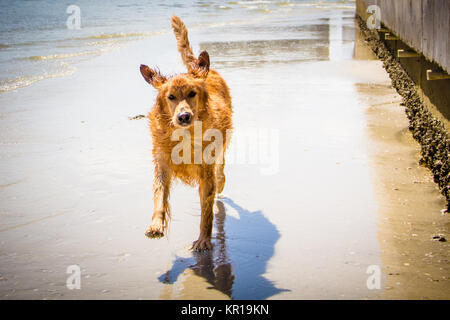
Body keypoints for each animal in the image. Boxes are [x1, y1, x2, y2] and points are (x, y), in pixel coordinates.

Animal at [140, 15, 232, 250]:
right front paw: (156, 225)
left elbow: (206, 211)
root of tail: (199, 68)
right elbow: (159, 196)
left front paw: (204, 239)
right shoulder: (162, 165)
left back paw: (222, 181)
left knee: (221, 166)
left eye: (192, 93)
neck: (185, 137)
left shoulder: (206, 173)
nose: (183, 116)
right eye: (171, 97)